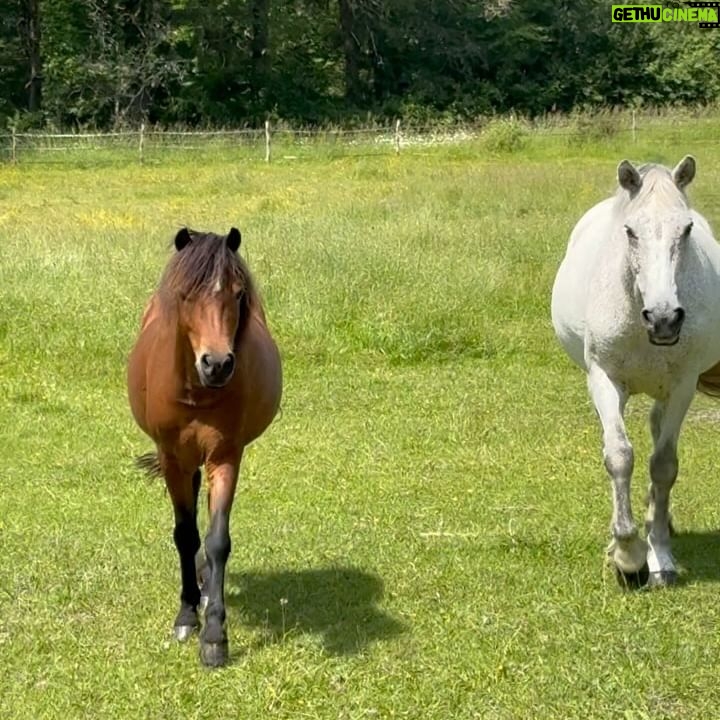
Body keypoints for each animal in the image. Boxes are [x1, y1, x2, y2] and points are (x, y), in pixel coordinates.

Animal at [126, 228, 282, 668]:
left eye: (238, 293)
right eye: (186, 294)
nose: (217, 364)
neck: (197, 393)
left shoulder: (225, 457)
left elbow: (216, 540)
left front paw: (214, 634)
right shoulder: (172, 459)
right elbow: (185, 535)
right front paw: (186, 616)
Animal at [556, 156, 720, 584]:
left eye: (687, 228)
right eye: (630, 231)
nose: (663, 319)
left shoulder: (682, 386)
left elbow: (663, 465)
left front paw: (659, 556)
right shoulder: (604, 380)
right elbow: (619, 456)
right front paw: (627, 555)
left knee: (657, 430)